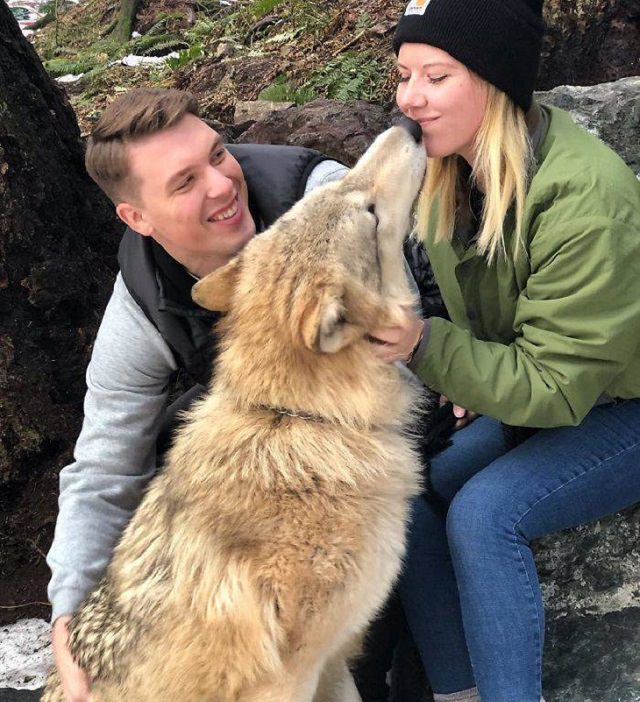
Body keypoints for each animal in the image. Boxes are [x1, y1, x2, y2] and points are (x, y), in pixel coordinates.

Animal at [42, 122, 428, 702]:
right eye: (372, 212)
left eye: (351, 197)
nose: (410, 125)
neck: (293, 419)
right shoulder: (293, 679)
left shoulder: (334, 659)